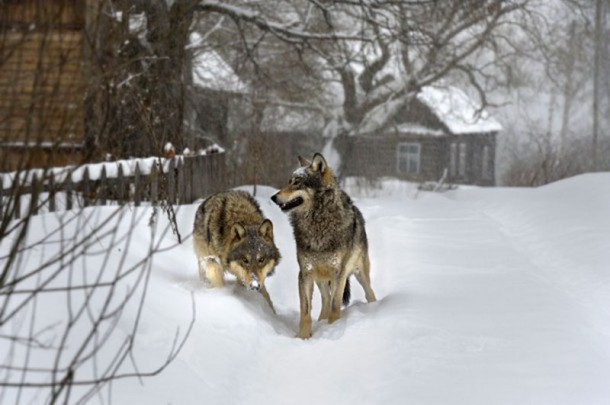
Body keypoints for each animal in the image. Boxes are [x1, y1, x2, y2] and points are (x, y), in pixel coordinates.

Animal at [270, 153, 376, 336]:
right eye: (289, 181)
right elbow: (305, 311)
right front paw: (303, 337)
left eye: (297, 182)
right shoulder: (305, 273)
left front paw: (333, 330)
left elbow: (335, 307)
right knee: (326, 301)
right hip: (320, 279)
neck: (317, 223)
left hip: (359, 274)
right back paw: (321, 323)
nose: (273, 197)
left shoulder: (339, 273)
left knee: (369, 293)